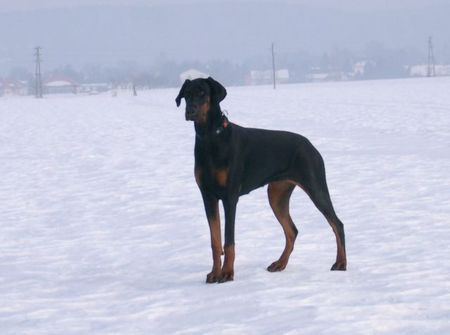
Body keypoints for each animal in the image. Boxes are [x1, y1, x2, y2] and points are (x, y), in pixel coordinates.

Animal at [174, 77, 346, 284]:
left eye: (202, 93)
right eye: (187, 94)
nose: (190, 111)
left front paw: (227, 273)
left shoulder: (230, 197)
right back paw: (280, 264)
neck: (210, 138)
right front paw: (215, 273)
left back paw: (341, 263)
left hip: (315, 185)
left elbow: (228, 241)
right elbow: (215, 241)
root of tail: (311, 145)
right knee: (292, 230)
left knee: (337, 224)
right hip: (277, 194)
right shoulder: (208, 196)